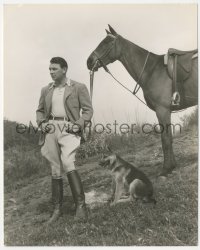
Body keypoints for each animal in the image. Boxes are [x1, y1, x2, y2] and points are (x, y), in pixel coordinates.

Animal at [86, 23, 198, 176]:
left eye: (107, 42)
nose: (89, 61)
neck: (152, 70)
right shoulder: (165, 111)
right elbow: (169, 137)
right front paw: (172, 165)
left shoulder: (162, 110)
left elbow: (165, 139)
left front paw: (166, 168)